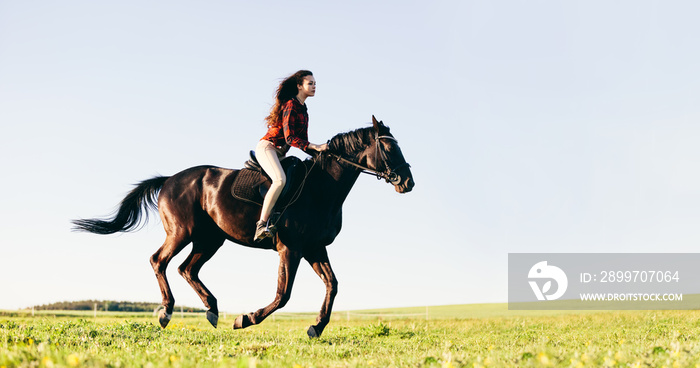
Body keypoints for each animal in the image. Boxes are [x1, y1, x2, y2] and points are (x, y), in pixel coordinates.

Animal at [73, 116, 416, 338]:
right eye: (389, 149)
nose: (408, 182)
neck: (322, 187)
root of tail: (169, 180)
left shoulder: (314, 247)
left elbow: (332, 285)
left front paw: (316, 327)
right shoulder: (290, 248)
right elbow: (283, 294)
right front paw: (245, 319)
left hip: (210, 239)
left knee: (187, 269)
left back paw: (211, 310)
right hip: (182, 233)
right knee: (159, 261)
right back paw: (166, 312)